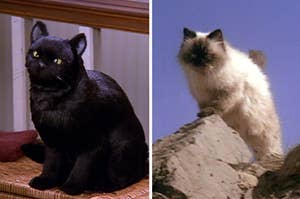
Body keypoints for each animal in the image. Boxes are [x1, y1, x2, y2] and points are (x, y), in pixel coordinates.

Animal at [23, 21, 149, 195]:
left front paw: (71, 188)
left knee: (125, 177)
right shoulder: (51, 139)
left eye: (58, 61)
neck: (52, 100)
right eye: (35, 54)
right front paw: (45, 181)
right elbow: (50, 163)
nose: (41, 64)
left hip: (121, 149)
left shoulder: (93, 143)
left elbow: (81, 167)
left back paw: (100, 185)